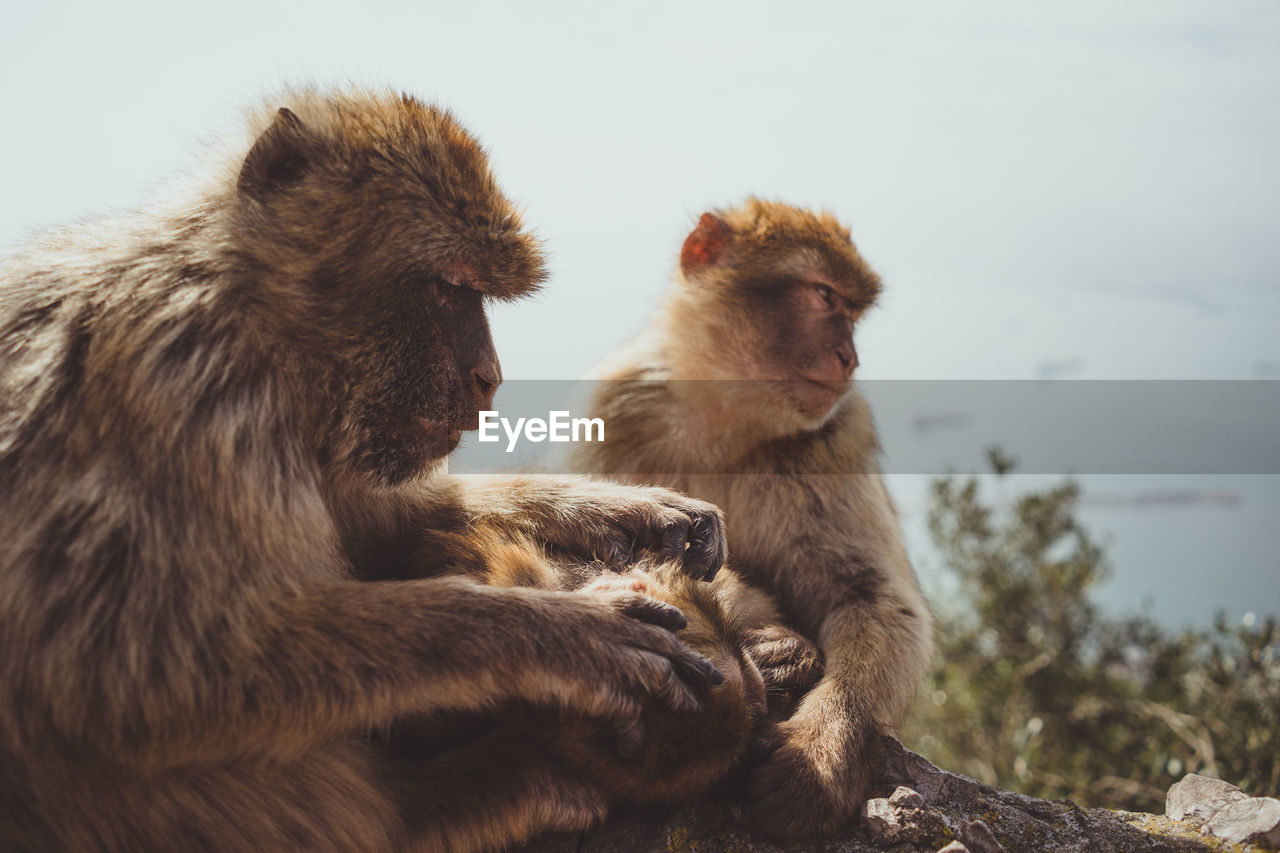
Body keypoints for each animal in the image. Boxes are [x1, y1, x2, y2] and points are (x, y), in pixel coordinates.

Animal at [0, 87, 732, 850]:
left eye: (476, 291)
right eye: (449, 289)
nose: (490, 376)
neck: (261, 321)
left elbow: (379, 526)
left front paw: (608, 511)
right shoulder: (186, 386)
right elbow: (142, 672)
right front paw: (557, 636)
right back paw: (436, 803)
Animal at [576, 197, 936, 835]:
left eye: (851, 309)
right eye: (824, 296)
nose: (850, 358)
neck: (724, 414)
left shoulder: (837, 435)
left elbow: (871, 595)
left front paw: (822, 754)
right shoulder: (616, 408)